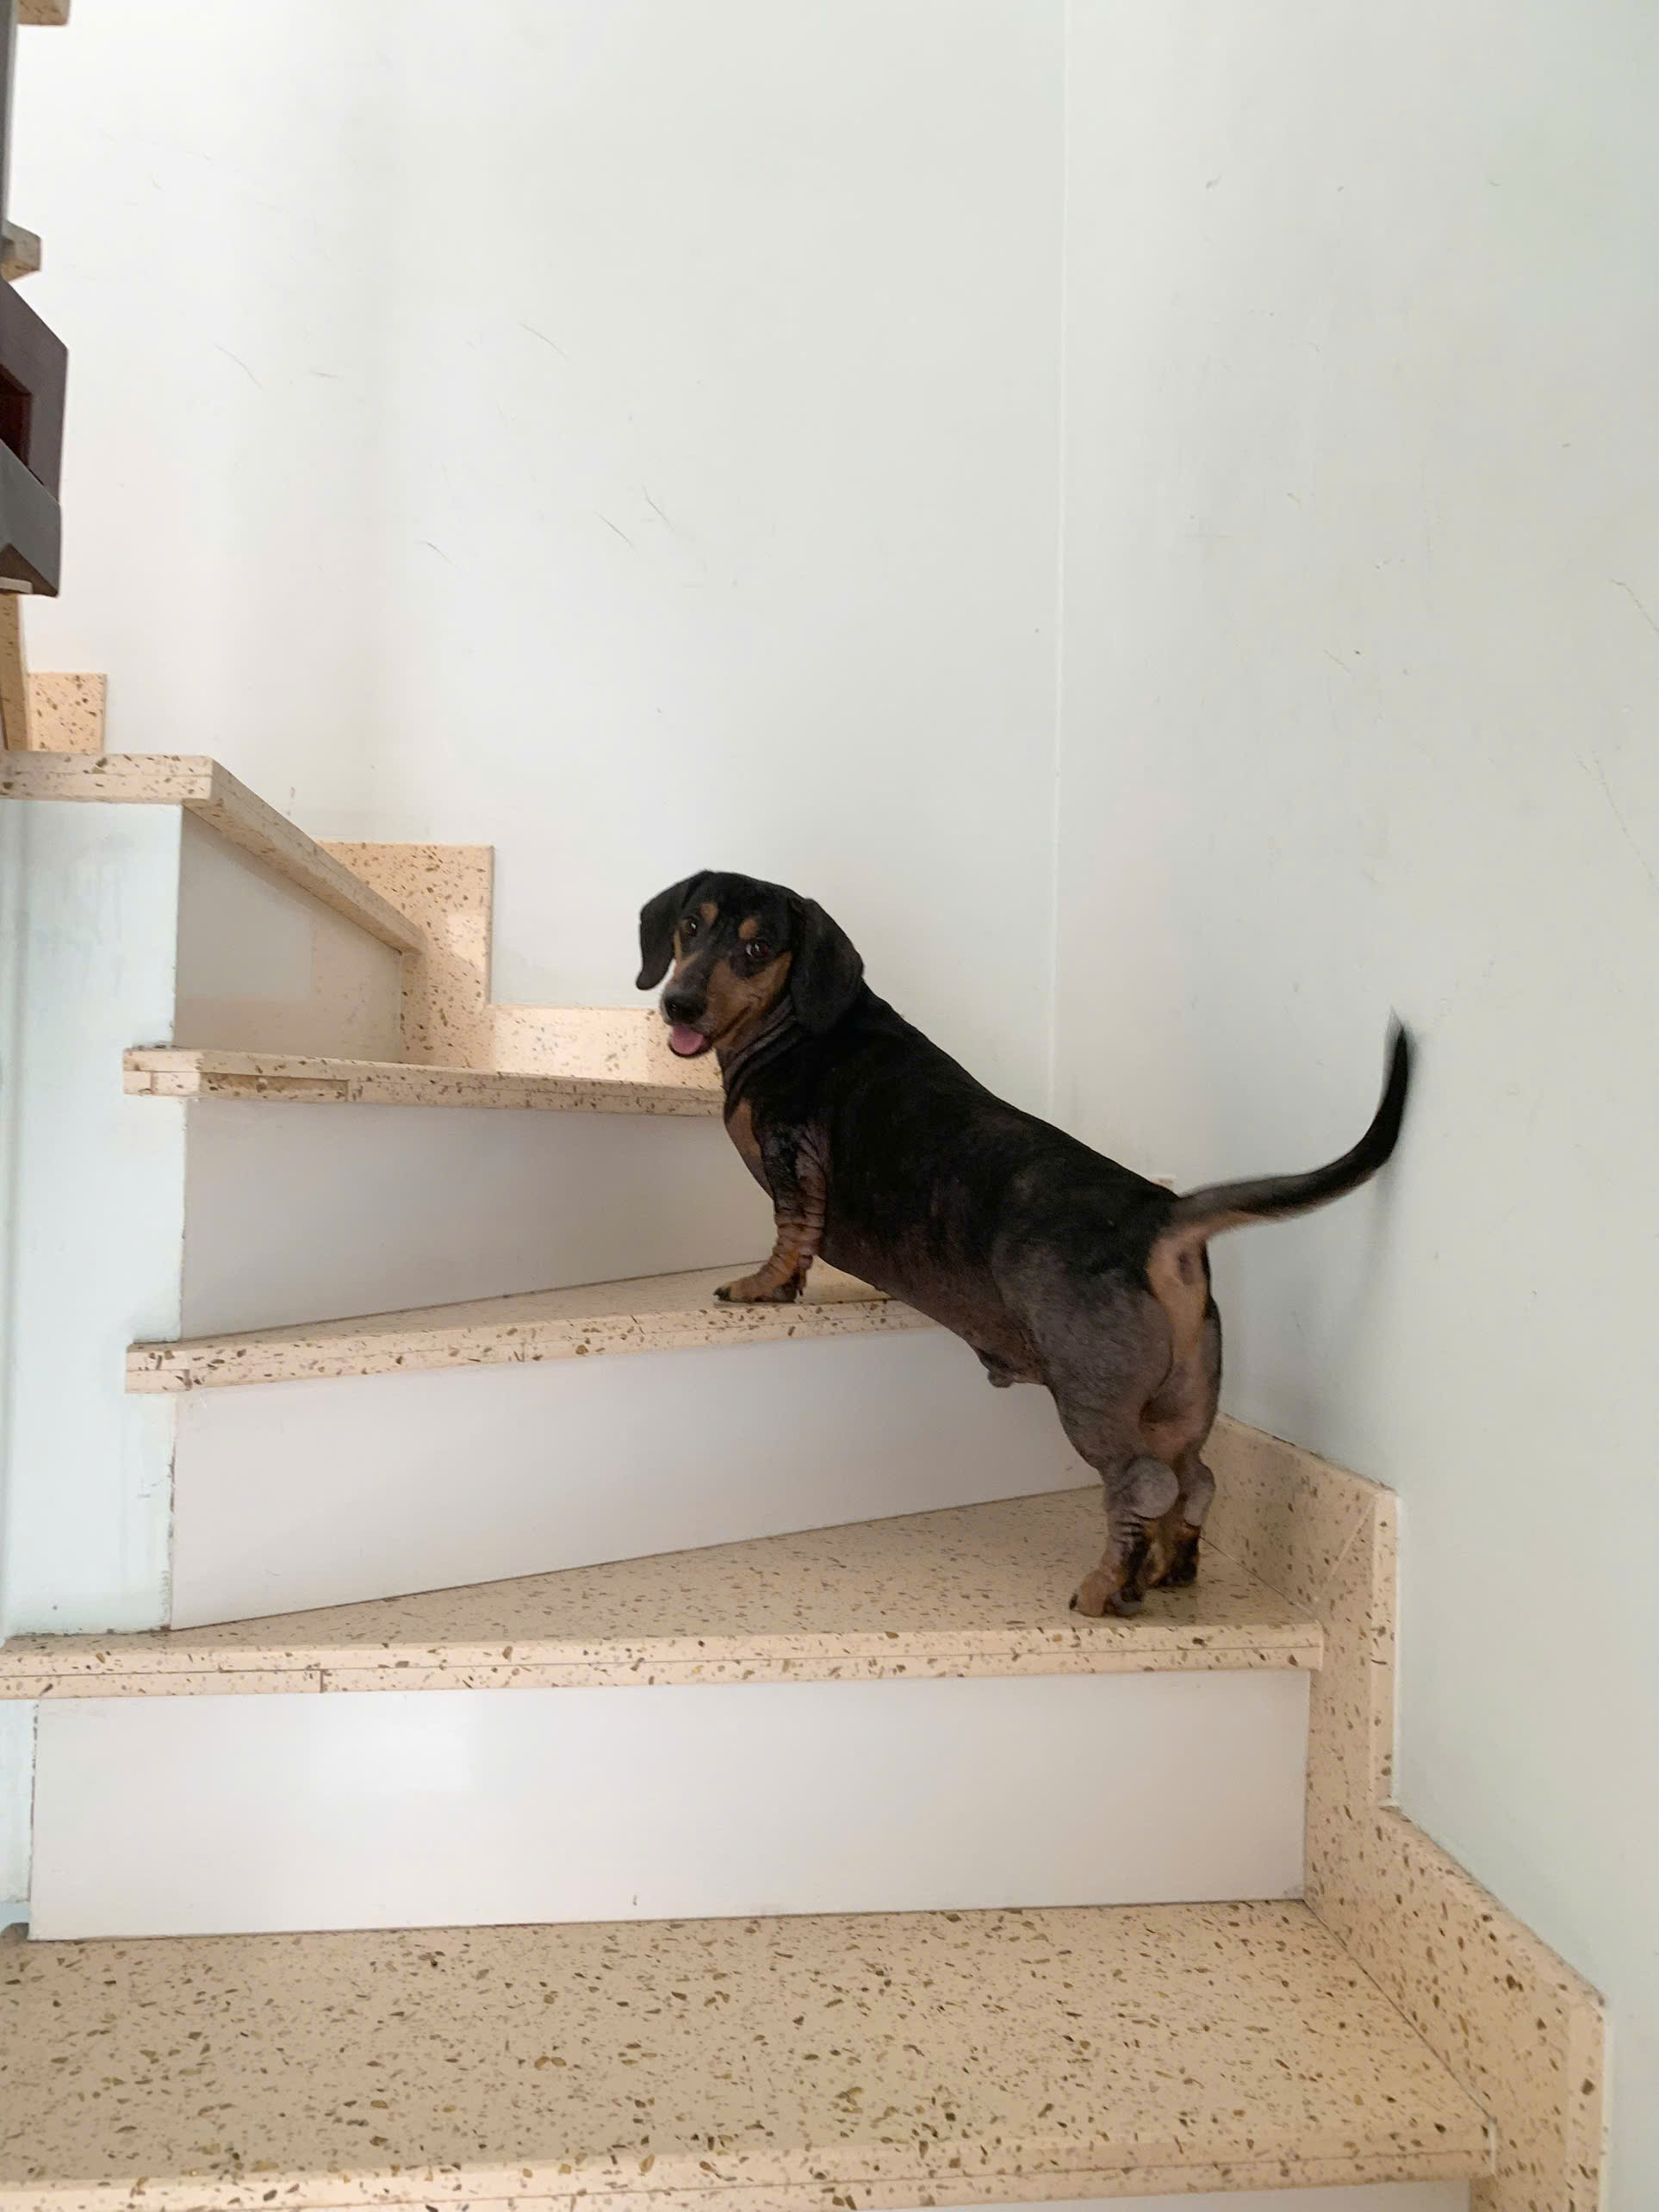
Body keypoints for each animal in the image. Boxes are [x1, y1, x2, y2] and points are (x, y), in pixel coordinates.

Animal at [637, 871, 1410, 1616]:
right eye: (690, 926)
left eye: (757, 947)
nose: (678, 1005)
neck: (792, 1023)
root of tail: (1159, 1217)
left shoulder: (791, 1153)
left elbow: (790, 1233)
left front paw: (762, 1285)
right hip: (1181, 1401)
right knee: (1197, 1481)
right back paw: (1169, 1566)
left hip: (1092, 1399)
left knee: (1144, 1485)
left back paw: (1106, 1586)